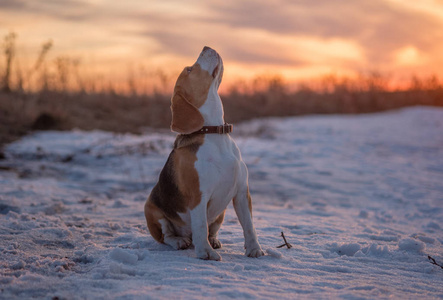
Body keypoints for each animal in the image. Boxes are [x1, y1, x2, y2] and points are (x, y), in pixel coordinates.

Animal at [145, 46, 264, 260]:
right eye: (189, 70)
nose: (206, 47)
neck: (215, 132)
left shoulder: (242, 193)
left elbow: (249, 226)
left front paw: (254, 249)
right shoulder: (198, 196)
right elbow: (200, 225)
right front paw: (205, 253)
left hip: (221, 214)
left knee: (211, 231)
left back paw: (213, 240)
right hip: (151, 209)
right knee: (167, 236)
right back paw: (180, 241)